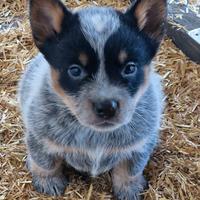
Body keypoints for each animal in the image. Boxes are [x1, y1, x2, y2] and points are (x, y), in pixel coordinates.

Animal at [18, 0, 166, 198]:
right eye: (75, 70)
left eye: (130, 68)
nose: (107, 107)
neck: (96, 136)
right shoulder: (39, 137)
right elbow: (45, 162)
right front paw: (48, 181)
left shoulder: (141, 144)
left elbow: (130, 169)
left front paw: (129, 188)